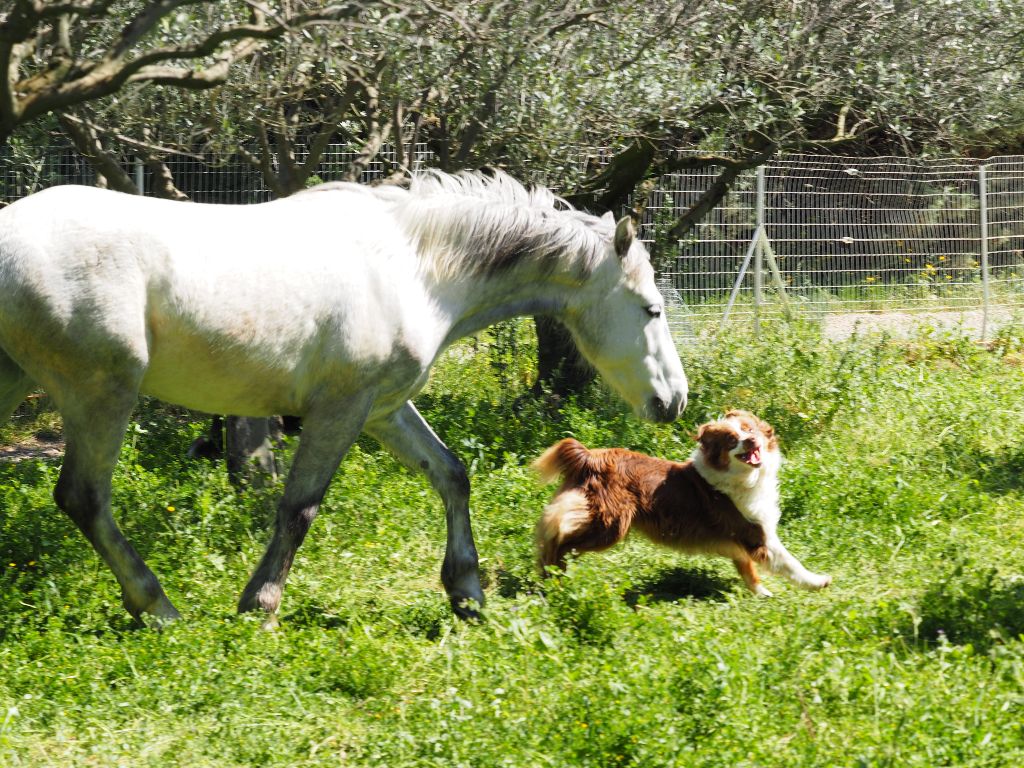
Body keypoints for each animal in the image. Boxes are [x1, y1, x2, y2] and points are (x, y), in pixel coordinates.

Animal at [2, 169, 688, 626]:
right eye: (651, 308)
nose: (674, 401)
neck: (414, 270)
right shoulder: (341, 409)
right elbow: (299, 508)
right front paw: (260, 608)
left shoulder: (383, 409)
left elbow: (452, 474)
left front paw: (467, 592)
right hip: (102, 393)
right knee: (84, 498)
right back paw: (158, 607)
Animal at [536, 411, 831, 598]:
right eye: (731, 440)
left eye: (749, 429)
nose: (751, 440)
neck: (741, 477)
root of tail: (590, 456)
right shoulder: (757, 534)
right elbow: (790, 562)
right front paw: (817, 581)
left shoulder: (738, 539)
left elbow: (747, 569)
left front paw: (761, 593)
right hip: (609, 526)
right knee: (558, 540)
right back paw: (554, 577)